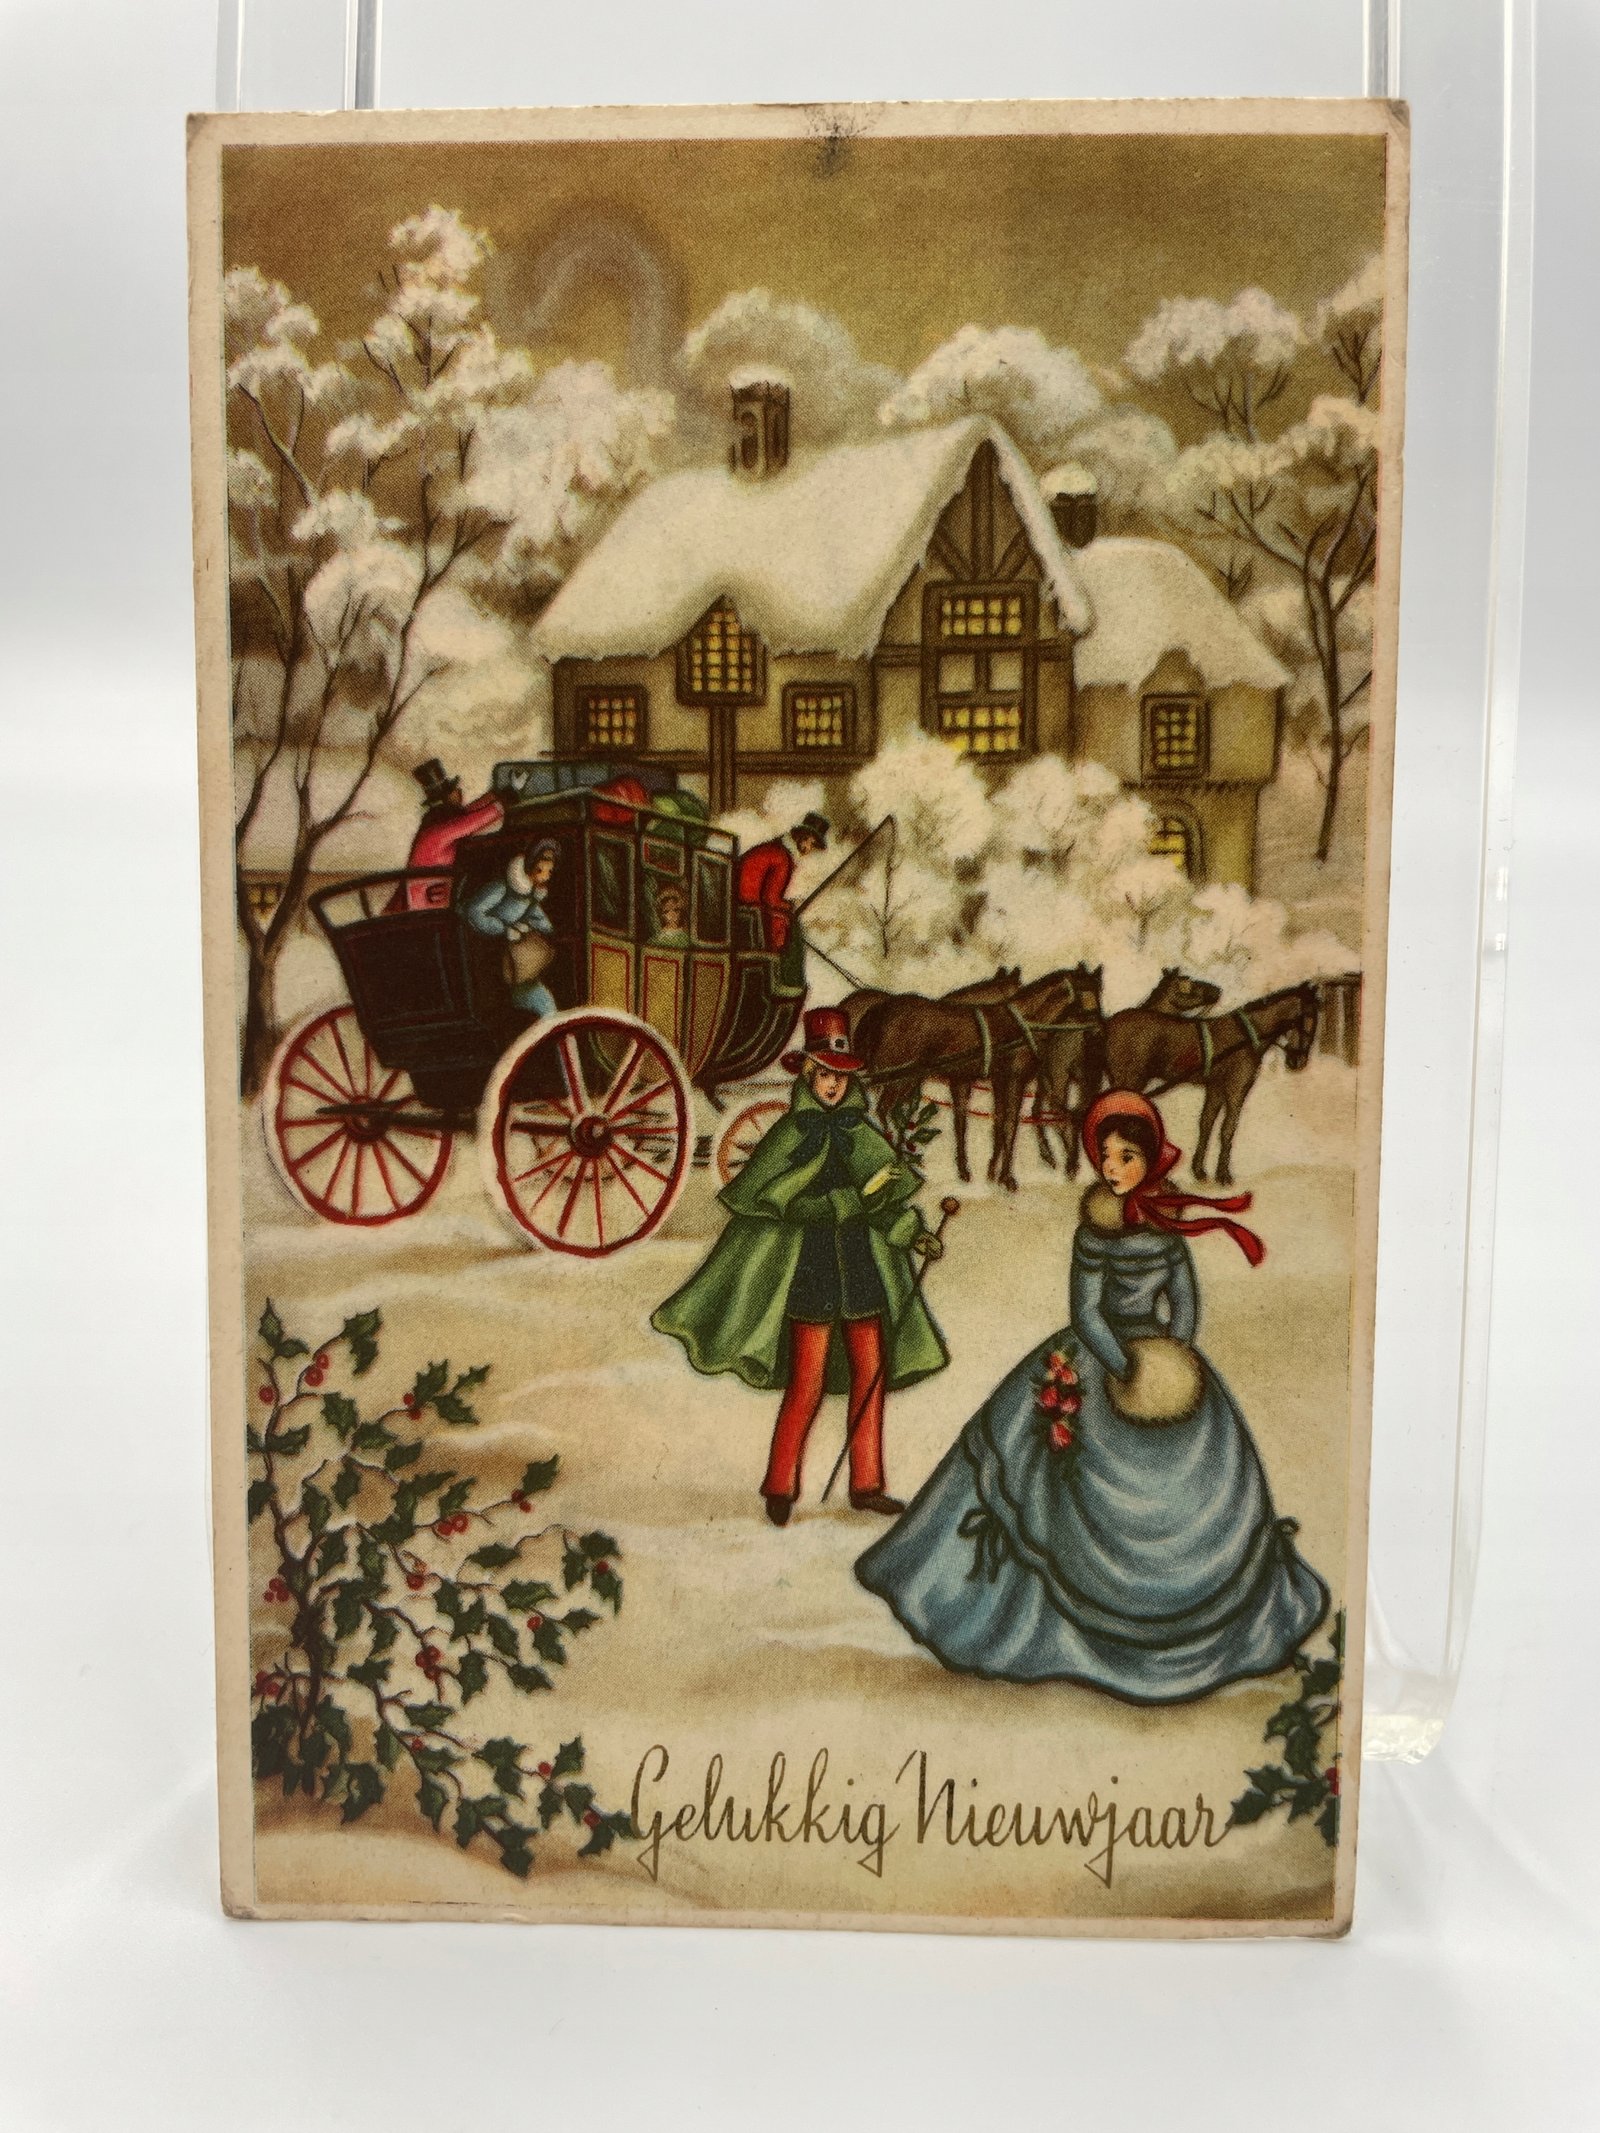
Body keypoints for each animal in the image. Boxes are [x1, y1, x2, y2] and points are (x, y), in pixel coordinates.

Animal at [1101, 983, 1320, 1185]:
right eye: (1309, 1015)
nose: (1298, 1062)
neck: (1247, 1034)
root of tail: (1109, 1024)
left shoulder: (1215, 1088)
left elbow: (1206, 1124)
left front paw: (1199, 1170)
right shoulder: (1236, 1088)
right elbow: (1227, 1128)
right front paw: (1223, 1175)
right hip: (1130, 1080)